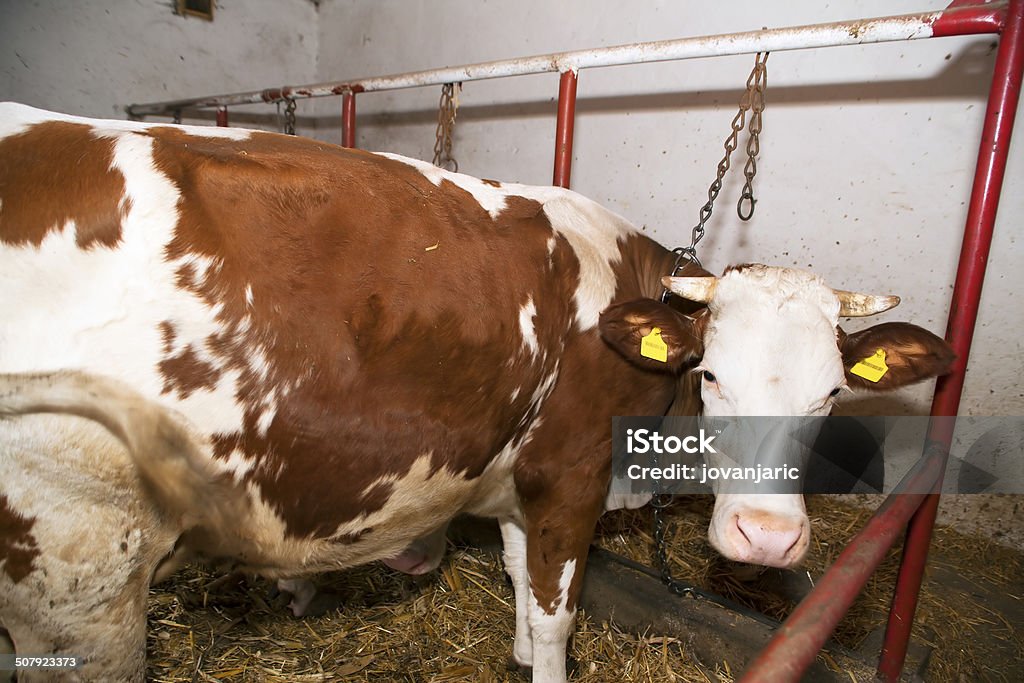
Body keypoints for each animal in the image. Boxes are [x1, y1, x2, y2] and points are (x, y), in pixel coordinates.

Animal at [0, 102, 950, 683]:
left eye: (833, 392)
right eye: (712, 373)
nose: (768, 536)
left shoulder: (518, 481)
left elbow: (522, 589)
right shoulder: (569, 476)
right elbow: (557, 614)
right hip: (79, 574)